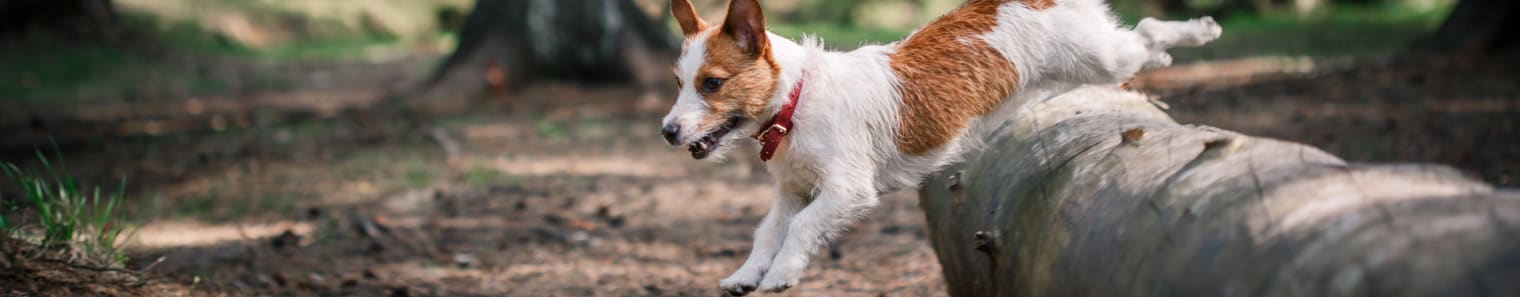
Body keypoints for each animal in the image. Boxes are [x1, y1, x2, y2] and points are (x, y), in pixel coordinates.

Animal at [656, 0, 1222, 292]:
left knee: (1145, 32)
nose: (667, 131)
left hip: (1101, 57)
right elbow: (769, 230)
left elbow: (802, 228)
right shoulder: (791, 191)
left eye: (711, 84)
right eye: (679, 82)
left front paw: (782, 273)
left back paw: (1199, 29)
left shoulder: (846, 191)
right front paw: (749, 272)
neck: (798, 98)